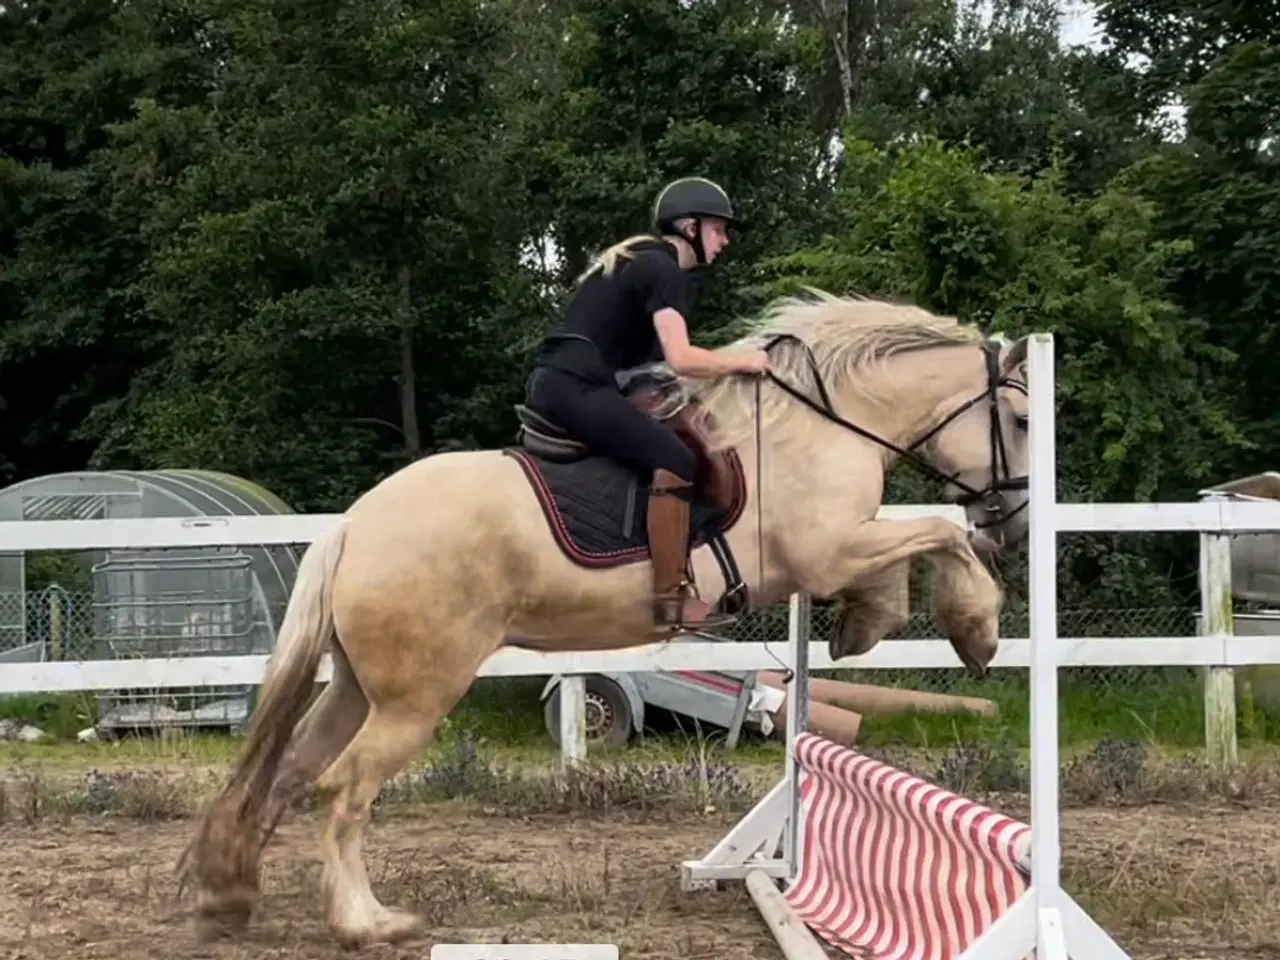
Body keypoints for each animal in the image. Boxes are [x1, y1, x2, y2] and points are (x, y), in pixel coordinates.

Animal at [175, 289, 1034, 952]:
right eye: (1024, 421)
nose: (1017, 524)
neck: (818, 426)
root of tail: (354, 524)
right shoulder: (824, 552)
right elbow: (941, 533)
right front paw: (975, 628)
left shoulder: (840, 547)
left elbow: (918, 542)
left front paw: (868, 623)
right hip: (415, 698)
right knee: (346, 789)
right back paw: (367, 923)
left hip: (358, 687)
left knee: (292, 772)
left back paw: (230, 899)